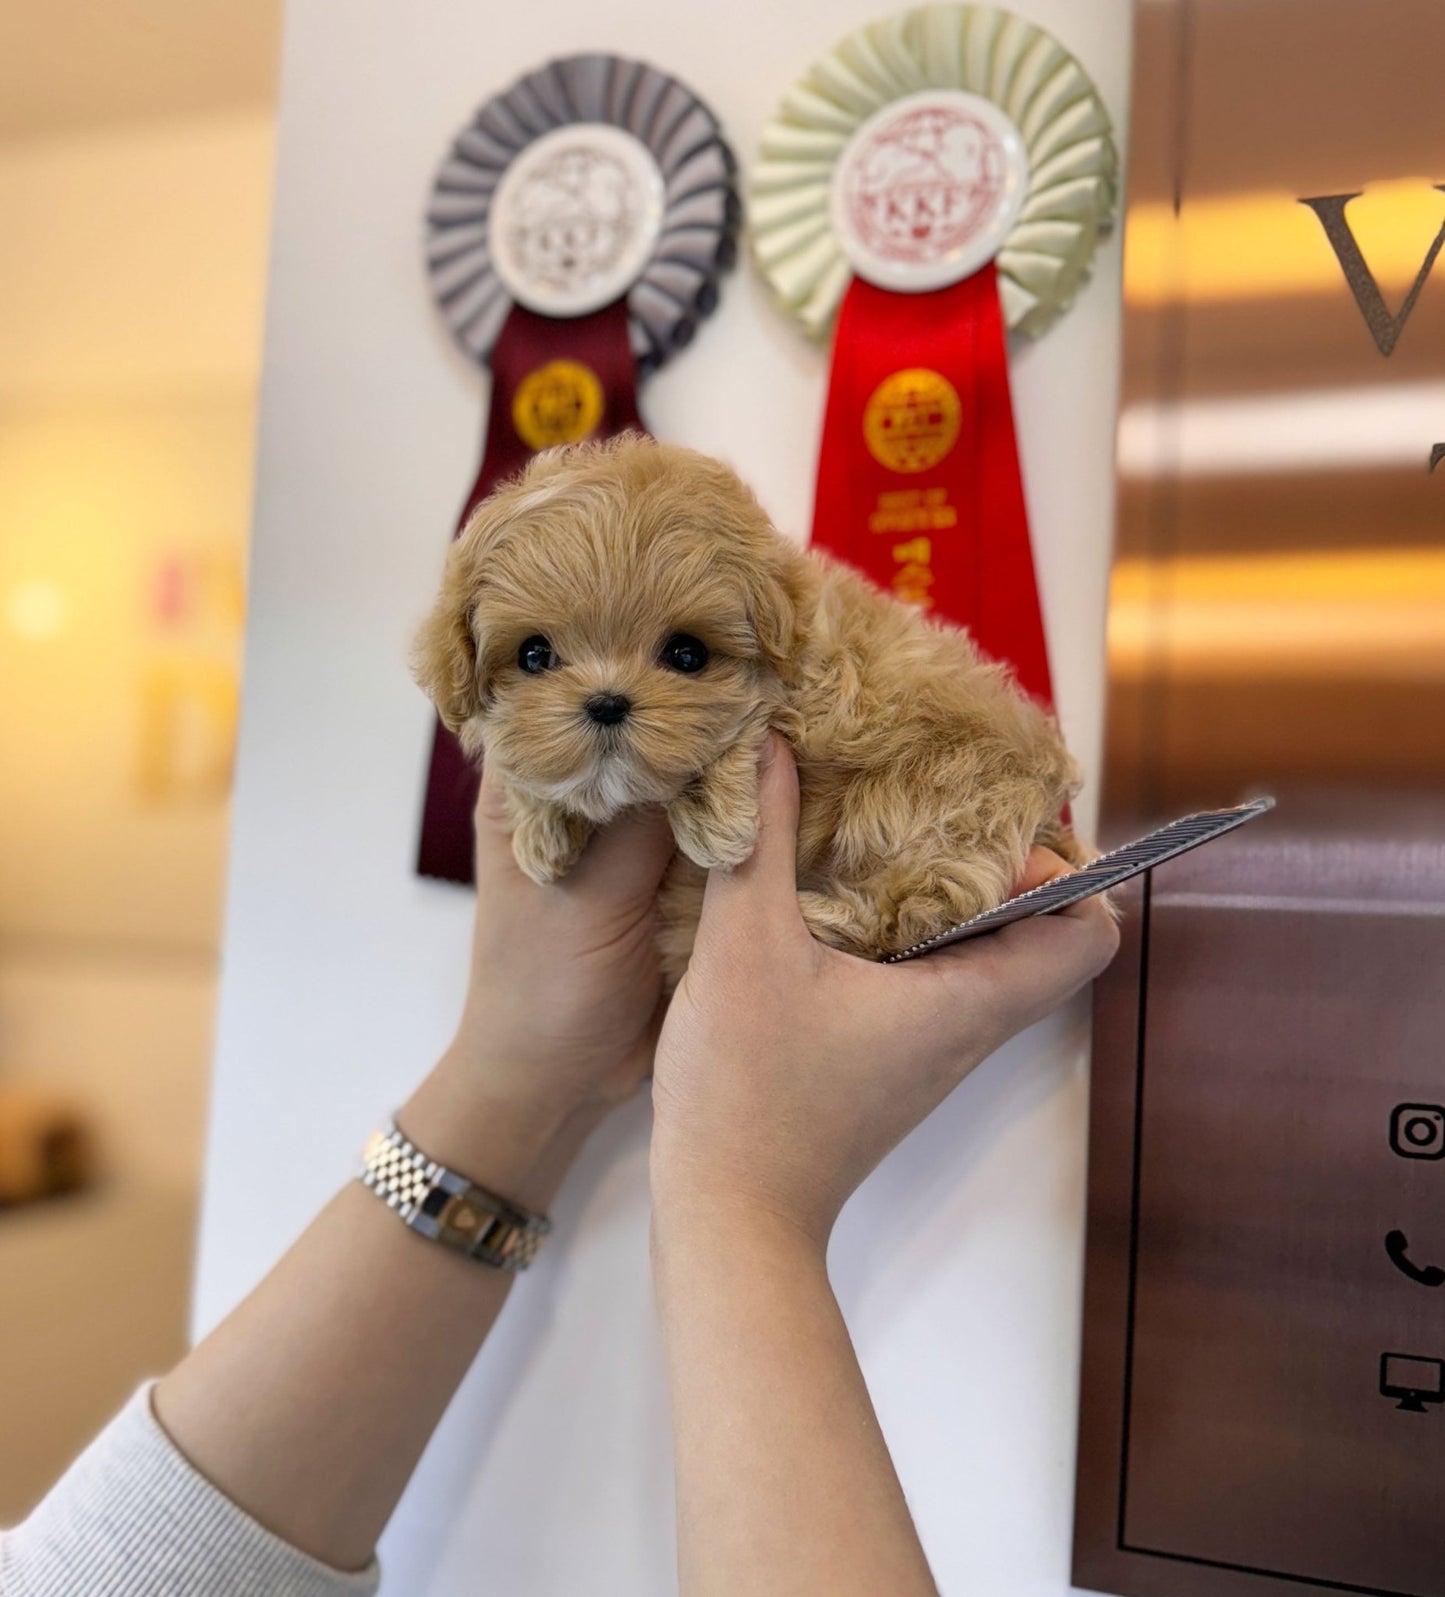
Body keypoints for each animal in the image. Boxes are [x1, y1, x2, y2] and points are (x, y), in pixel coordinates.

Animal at [411, 431, 1079, 964]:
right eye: (534, 656)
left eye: (686, 655)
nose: (606, 703)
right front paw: (542, 830)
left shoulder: (822, 691)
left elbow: (745, 728)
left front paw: (717, 822)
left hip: (939, 794)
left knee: (926, 903)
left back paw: (820, 918)